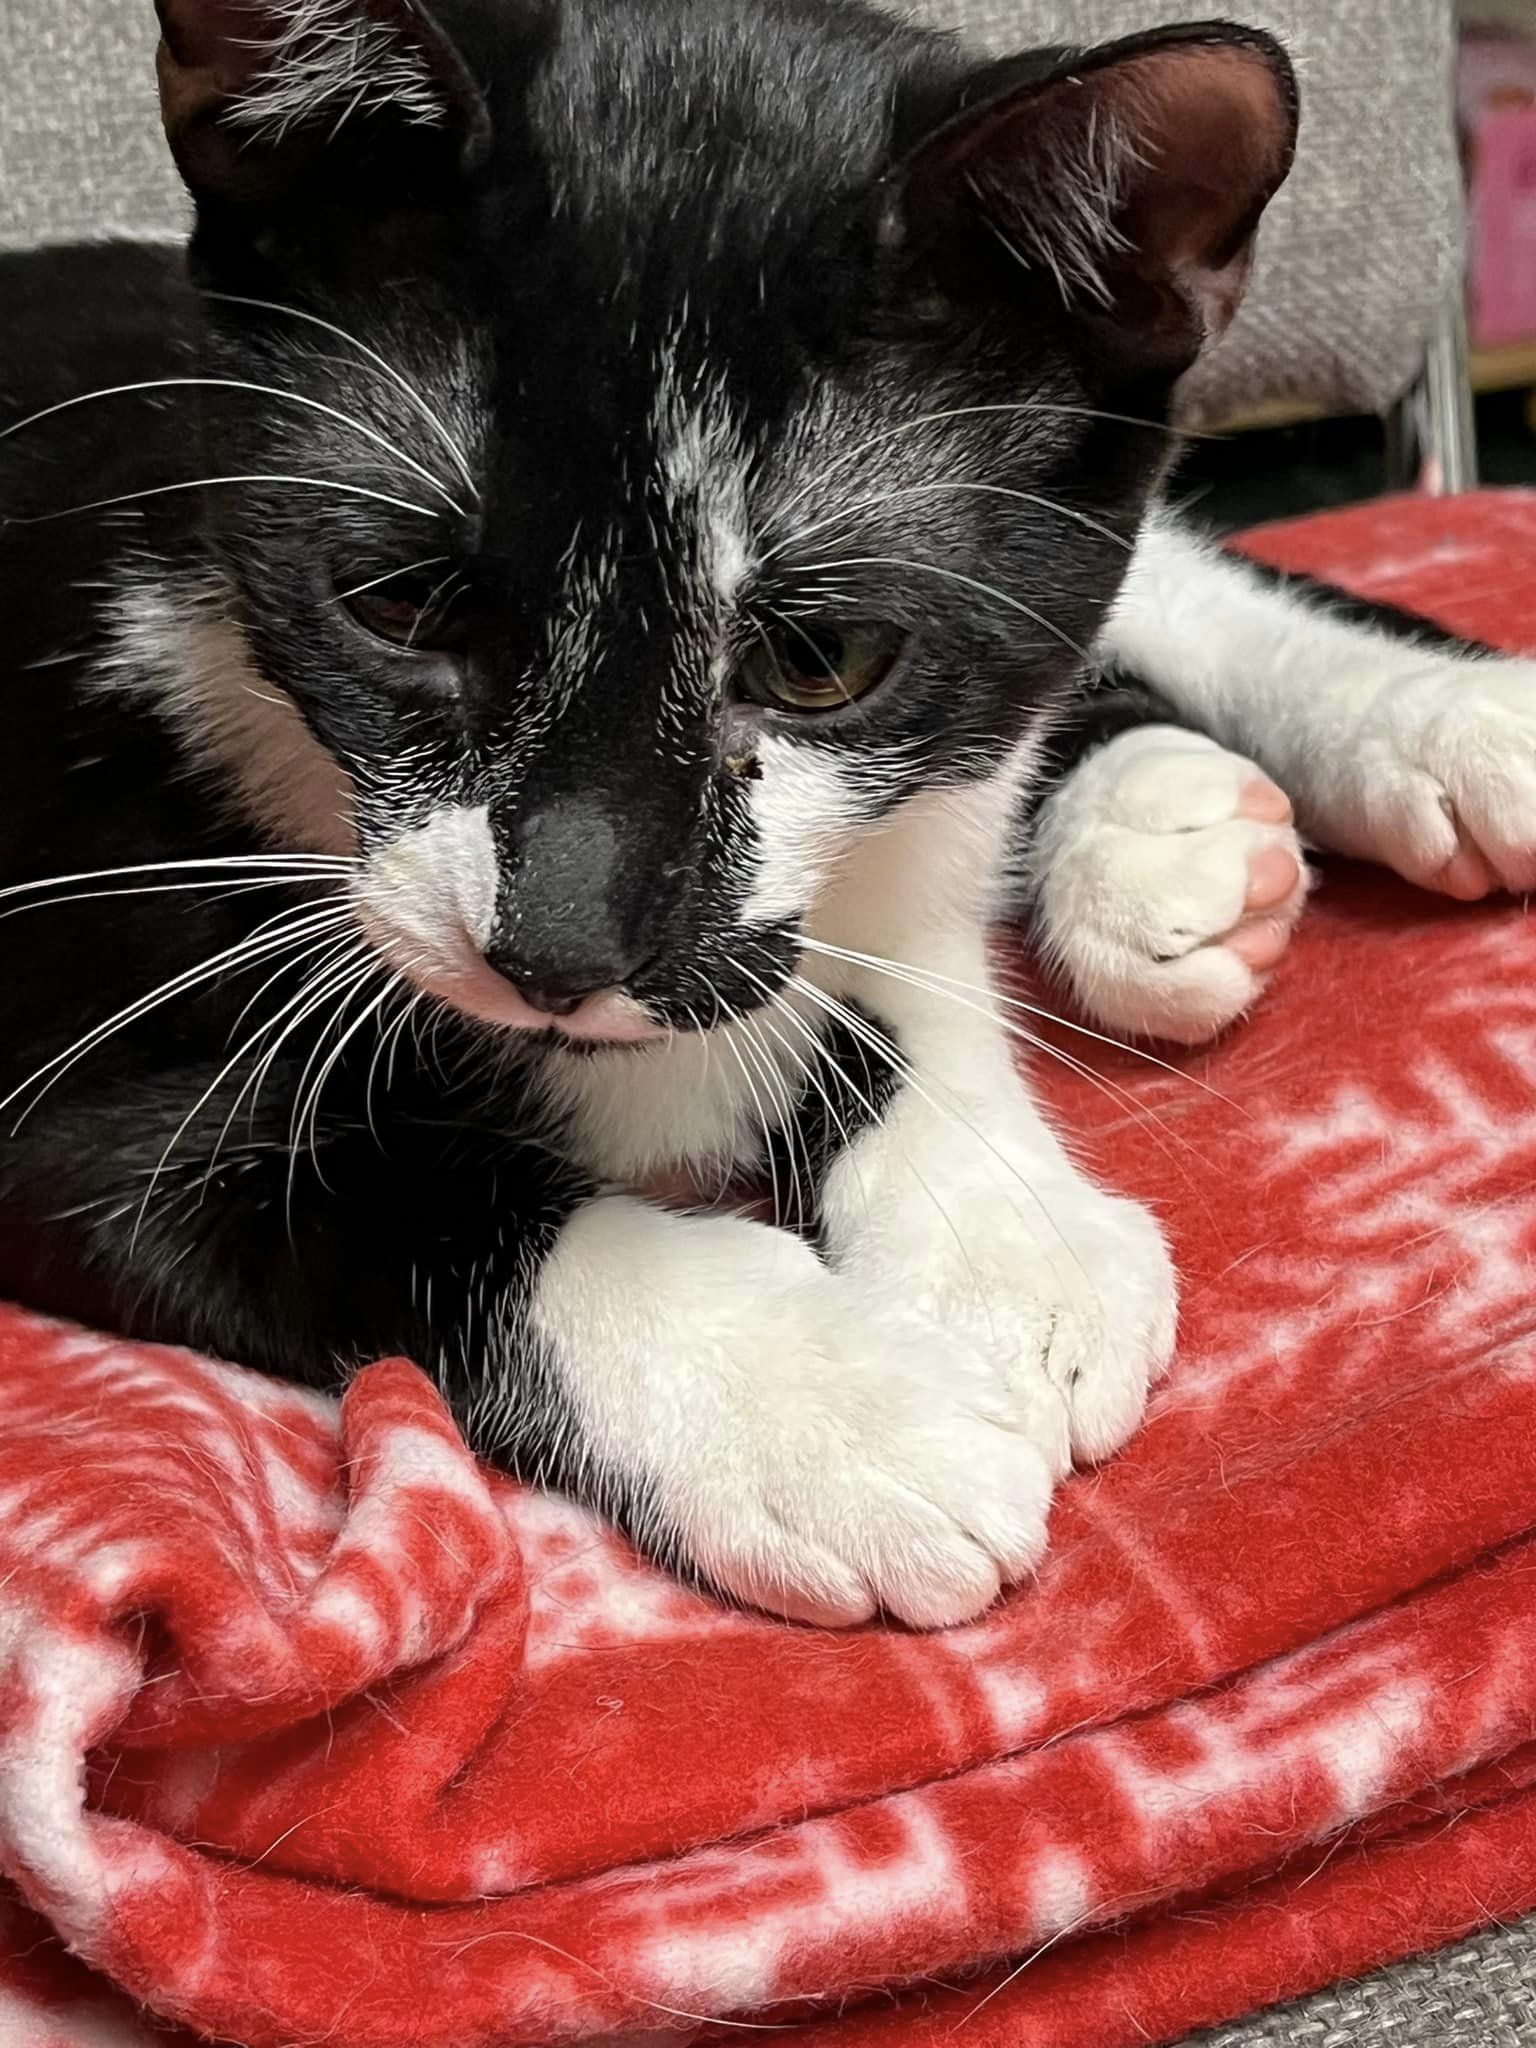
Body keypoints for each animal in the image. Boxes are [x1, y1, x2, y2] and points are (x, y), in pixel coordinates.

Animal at [0, 0, 1531, 1630]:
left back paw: (1425, 726)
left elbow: (900, 906)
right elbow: (392, 1199)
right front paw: (827, 1406)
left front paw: (996, 1226)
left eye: (820, 658)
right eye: (397, 603)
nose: (555, 947)